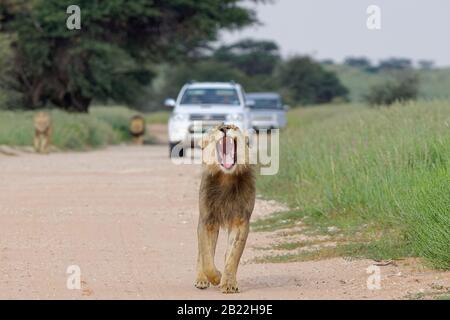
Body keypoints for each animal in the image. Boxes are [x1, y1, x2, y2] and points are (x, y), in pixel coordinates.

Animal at [195, 124, 255, 294]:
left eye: (234, 127)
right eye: (217, 128)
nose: (224, 128)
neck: (226, 178)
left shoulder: (240, 222)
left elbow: (233, 256)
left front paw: (228, 283)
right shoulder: (207, 221)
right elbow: (207, 257)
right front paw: (215, 277)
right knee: (201, 253)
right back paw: (201, 280)